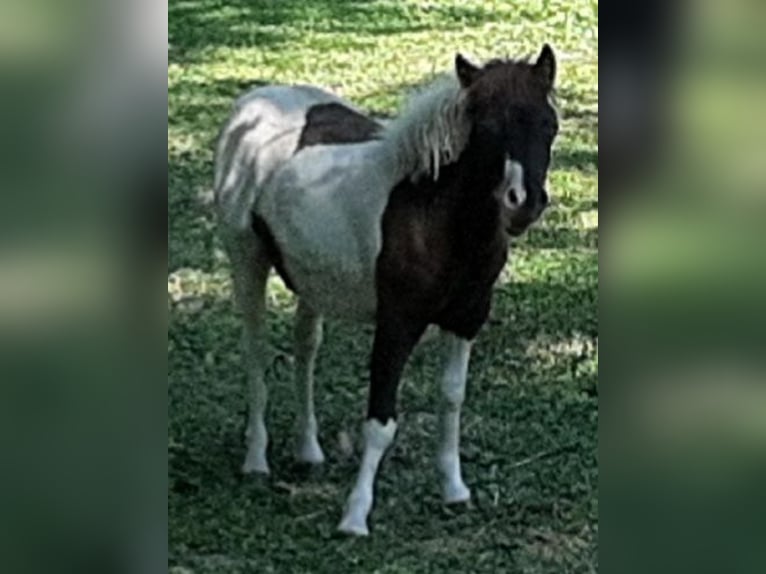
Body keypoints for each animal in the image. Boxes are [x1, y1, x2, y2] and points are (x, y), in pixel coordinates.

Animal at [213, 44, 560, 536]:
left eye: (548, 124)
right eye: (488, 127)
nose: (523, 203)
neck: (435, 213)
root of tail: (251, 102)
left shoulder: (467, 318)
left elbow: (452, 399)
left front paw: (454, 489)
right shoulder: (397, 324)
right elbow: (380, 421)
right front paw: (355, 516)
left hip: (310, 279)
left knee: (305, 349)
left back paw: (308, 451)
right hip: (246, 259)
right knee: (256, 351)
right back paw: (256, 460)